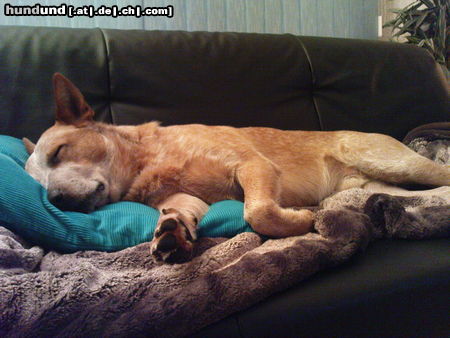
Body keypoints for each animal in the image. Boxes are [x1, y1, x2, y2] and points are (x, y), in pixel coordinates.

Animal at [23, 74, 450, 262]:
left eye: (59, 151)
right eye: (38, 182)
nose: (56, 199)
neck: (148, 159)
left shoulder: (252, 166)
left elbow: (257, 210)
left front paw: (301, 220)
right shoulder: (187, 197)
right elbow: (180, 212)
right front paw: (171, 232)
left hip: (388, 160)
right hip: (383, 184)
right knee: (430, 192)